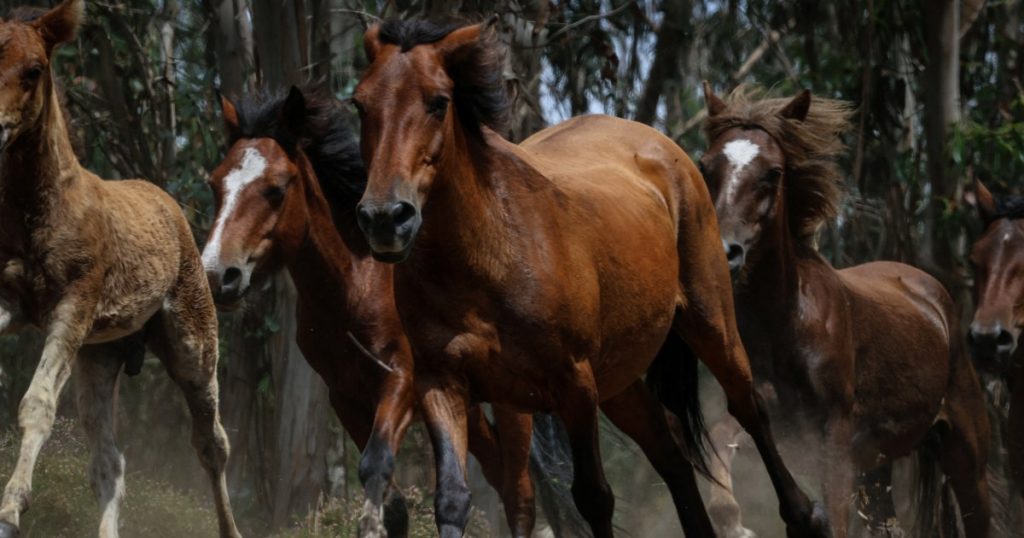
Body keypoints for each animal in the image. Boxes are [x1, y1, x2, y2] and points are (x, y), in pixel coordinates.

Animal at [0, 1, 240, 537]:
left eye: (34, 69)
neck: (39, 210)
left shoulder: (74, 304)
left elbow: (37, 404)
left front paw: (10, 510)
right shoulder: (9, 301)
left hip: (193, 345)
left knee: (212, 443)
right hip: (100, 354)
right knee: (109, 461)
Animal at [202, 85, 586, 537]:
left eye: (276, 189)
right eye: (215, 185)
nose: (218, 275)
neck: (355, 285)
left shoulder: (400, 382)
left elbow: (375, 466)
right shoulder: (346, 398)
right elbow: (394, 502)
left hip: (512, 405)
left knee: (520, 494)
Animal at [350, 19, 830, 538]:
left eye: (438, 101)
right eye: (359, 103)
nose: (384, 218)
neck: (487, 255)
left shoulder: (574, 383)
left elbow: (594, 497)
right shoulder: (442, 382)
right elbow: (453, 499)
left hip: (710, 324)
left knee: (749, 407)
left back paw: (806, 516)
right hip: (620, 380)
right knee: (671, 453)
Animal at [699, 82, 991, 538]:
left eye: (773, 173)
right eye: (706, 167)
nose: (723, 250)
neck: (786, 325)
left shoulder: (833, 434)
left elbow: (835, 519)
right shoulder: (776, 426)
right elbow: (720, 448)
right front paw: (736, 524)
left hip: (965, 450)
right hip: (877, 469)